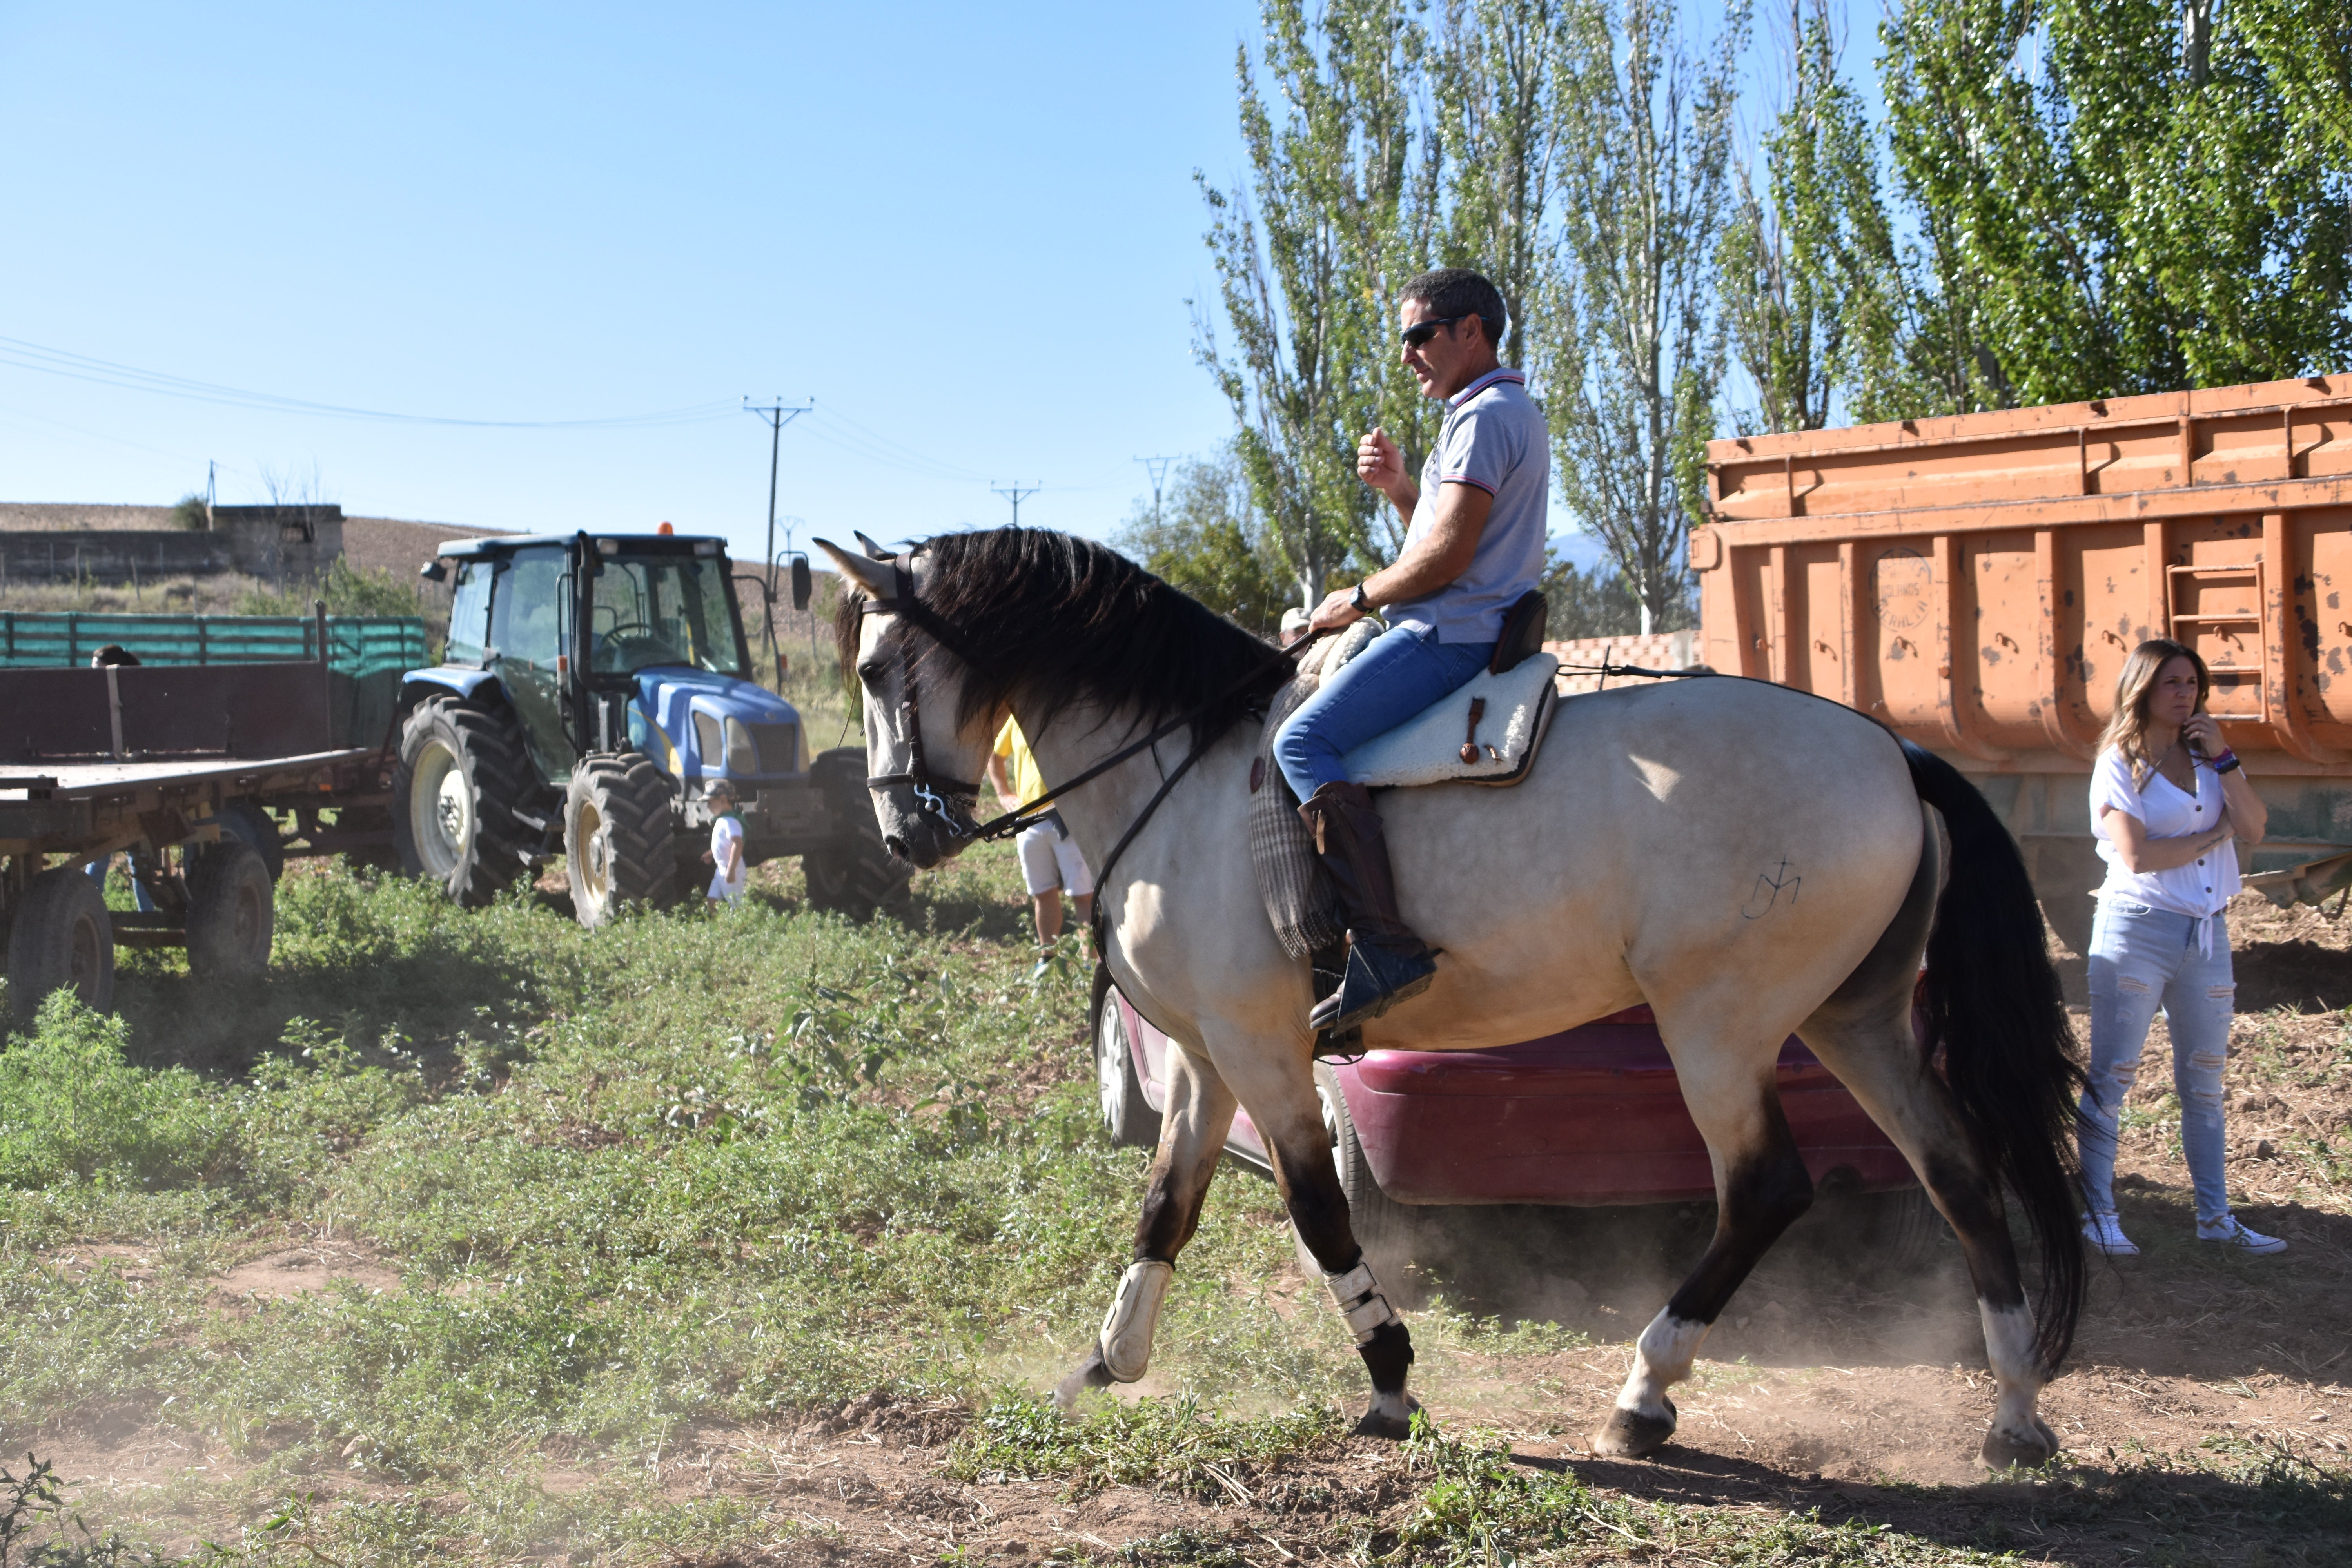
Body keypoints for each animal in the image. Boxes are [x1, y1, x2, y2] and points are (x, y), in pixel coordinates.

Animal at [818, 531, 2089, 1476]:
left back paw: (1643, 1391)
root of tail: (1892, 753)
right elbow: (1164, 1207)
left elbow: (1318, 1211)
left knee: (1767, 1188)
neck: (1178, 769)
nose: (901, 833)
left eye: (877, 672)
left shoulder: (1263, 1053)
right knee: (1958, 1172)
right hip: (1851, 1022)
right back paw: (2013, 1411)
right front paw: (1102, 1363)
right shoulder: (1201, 1058)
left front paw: (1389, 1382)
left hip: (1718, 1026)